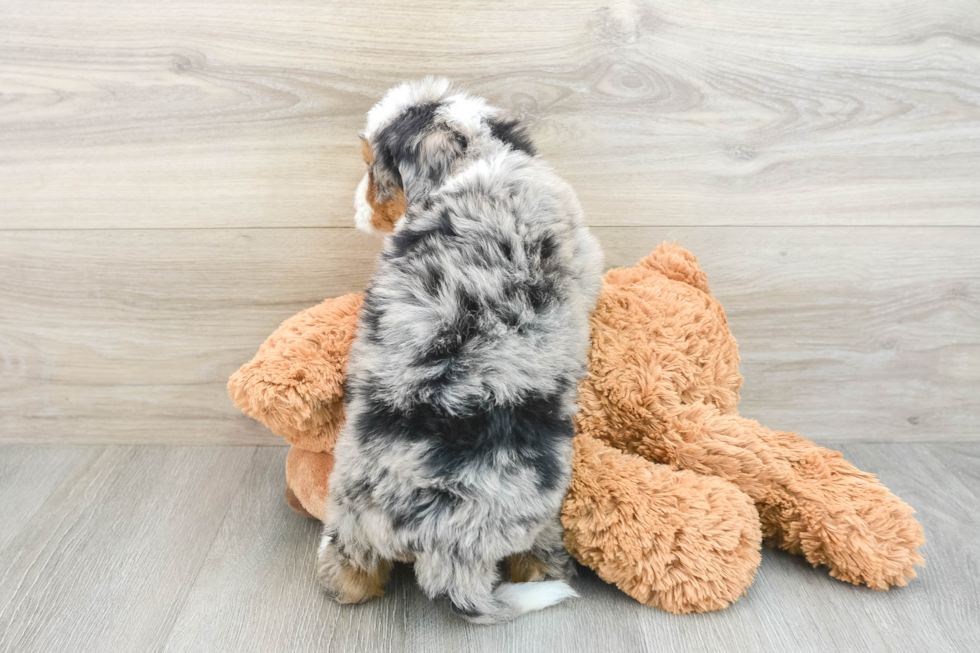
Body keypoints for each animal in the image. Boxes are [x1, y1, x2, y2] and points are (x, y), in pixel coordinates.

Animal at [318, 79, 600, 624]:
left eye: (372, 168)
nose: (356, 210)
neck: (482, 157)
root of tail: (444, 549)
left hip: (351, 511)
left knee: (352, 575)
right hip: (535, 518)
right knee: (535, 562)